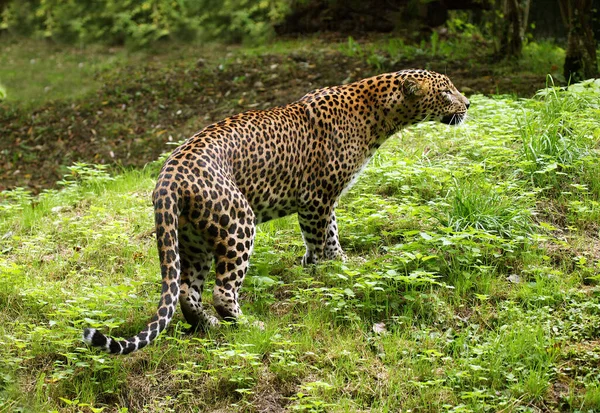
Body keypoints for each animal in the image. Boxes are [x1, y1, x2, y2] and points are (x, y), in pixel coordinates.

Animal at [82, 69, 472, 352]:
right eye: (446, 92)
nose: (468, 103)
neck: (378, 114)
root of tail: (167, 176)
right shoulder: (317, 197)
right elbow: (322, 238)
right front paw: (331, 270)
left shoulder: (321, 202)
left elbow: (326, 235)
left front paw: (325, 265)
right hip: (238, 224)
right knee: (222, 291)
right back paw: (248, 325)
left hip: (192, 239)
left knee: (186, 293)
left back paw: (207, 326)